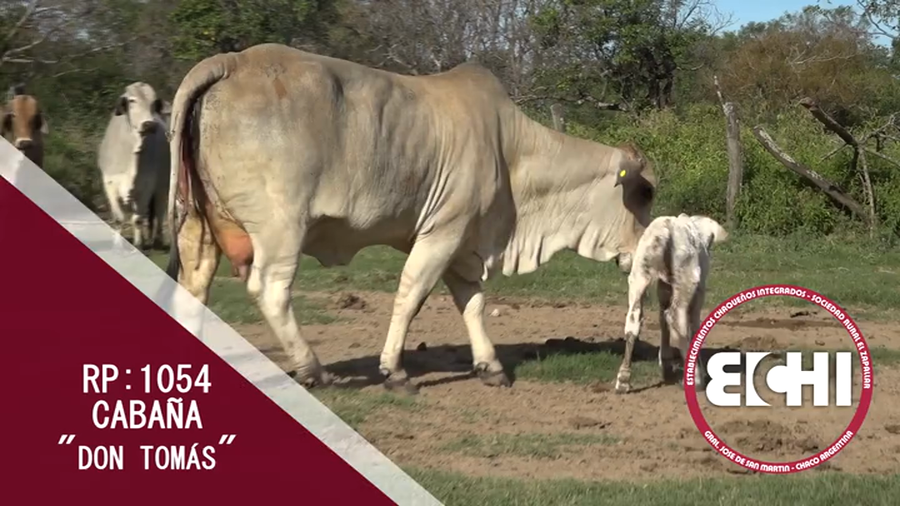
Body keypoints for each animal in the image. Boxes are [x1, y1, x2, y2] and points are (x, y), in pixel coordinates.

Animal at [98, 82, 172, 250]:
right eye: (132, 100)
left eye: (153, 103)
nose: (149, 124)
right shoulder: (110, 184)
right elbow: (119, 218)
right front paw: (118, 246)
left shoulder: (146, 186)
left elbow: (138, 218)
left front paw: (138, 244)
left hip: (162, 186)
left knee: (158, 213)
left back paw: (157, 240)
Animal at [164, 43, 657, 393]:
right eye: (645, 193)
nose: (643, 253)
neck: (512, 152)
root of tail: (232, 61)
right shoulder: (443, 232)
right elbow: (411, 296)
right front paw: (394, 371)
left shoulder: (463, 244)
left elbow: (473, 303)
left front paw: (490, 365)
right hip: (281, 227)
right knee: (271, 289)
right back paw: (313, 369)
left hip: (198, 224)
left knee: (194, 286)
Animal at [614, 214, 728, 394]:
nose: (618, 259)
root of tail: (667, 229)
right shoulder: (699, 291)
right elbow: (693, 325)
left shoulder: (663, 287)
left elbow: (662, 318)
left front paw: (665, 363)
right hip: (686, 281)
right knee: (677, 319)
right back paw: (696, 380)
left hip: (639, 276)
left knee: (634, 320)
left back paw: (623, 380)